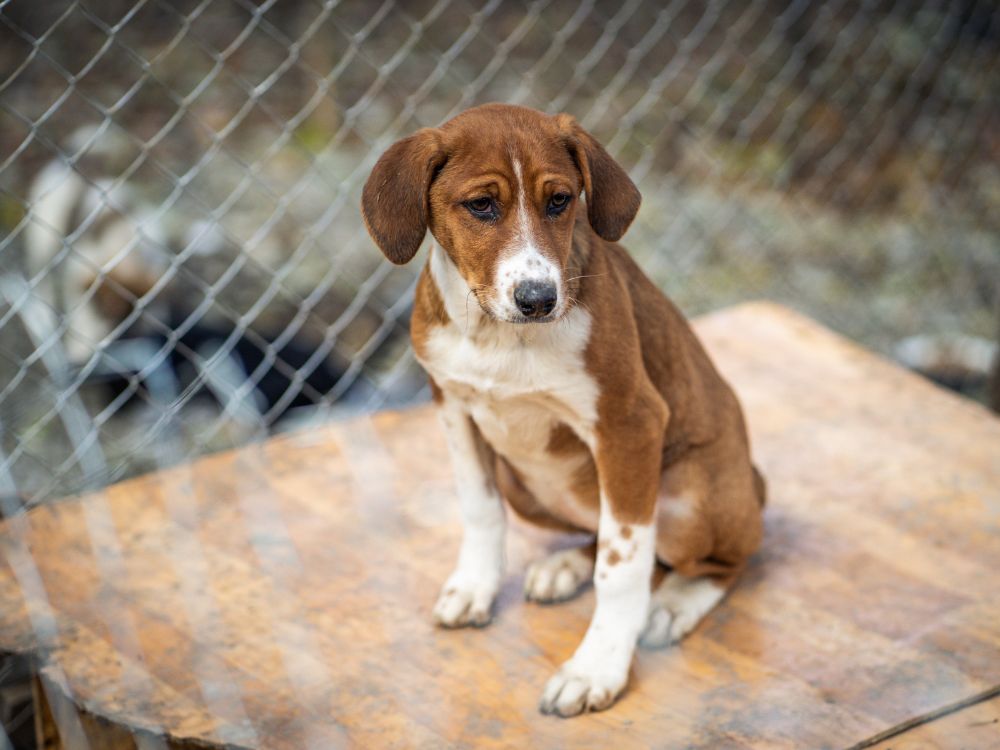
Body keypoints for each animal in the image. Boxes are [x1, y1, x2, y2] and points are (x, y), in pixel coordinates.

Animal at [364, 103, 760, 720]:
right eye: (481, 205)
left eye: (560, 200)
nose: (538, 299)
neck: (500, 337)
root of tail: (753, 482)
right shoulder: (452, 405)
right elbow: (480, 509)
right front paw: (475, 586)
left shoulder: (630, 424)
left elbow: (621, 569)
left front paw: (597, 667)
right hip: (526, 486)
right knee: (607, 533)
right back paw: (565, 566)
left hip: (691, 495)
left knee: (719, 558)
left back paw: (674, 603)